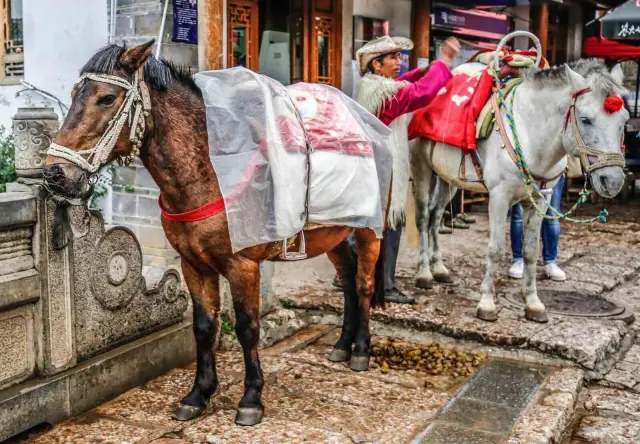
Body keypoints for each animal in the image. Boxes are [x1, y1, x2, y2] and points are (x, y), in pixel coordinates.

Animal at [42, 41, 387, 427]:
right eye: (74, 94)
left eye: (106, 98)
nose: (55, 173)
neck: (207, 173)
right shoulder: (193, 264)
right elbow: (205, 326)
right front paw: (198, 394)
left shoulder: (244, 265)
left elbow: (248, 327)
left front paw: (251, 399)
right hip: (333, 233)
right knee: (347, 278)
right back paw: (342, 346)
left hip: (370, 228)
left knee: (363, 283)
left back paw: (361, 350)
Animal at [409, 58, 628, 323]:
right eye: (585, 119)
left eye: (624, 121)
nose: (613, 180)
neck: (531, 133)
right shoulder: (499, 196)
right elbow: (495, 249)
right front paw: (486, 303)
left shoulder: (540, 199)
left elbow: (531, 251)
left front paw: (533, 303)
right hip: (420, 166)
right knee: (423, 218)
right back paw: (424, 274)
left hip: (447, 178)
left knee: (435, 216)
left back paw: (439, 269)